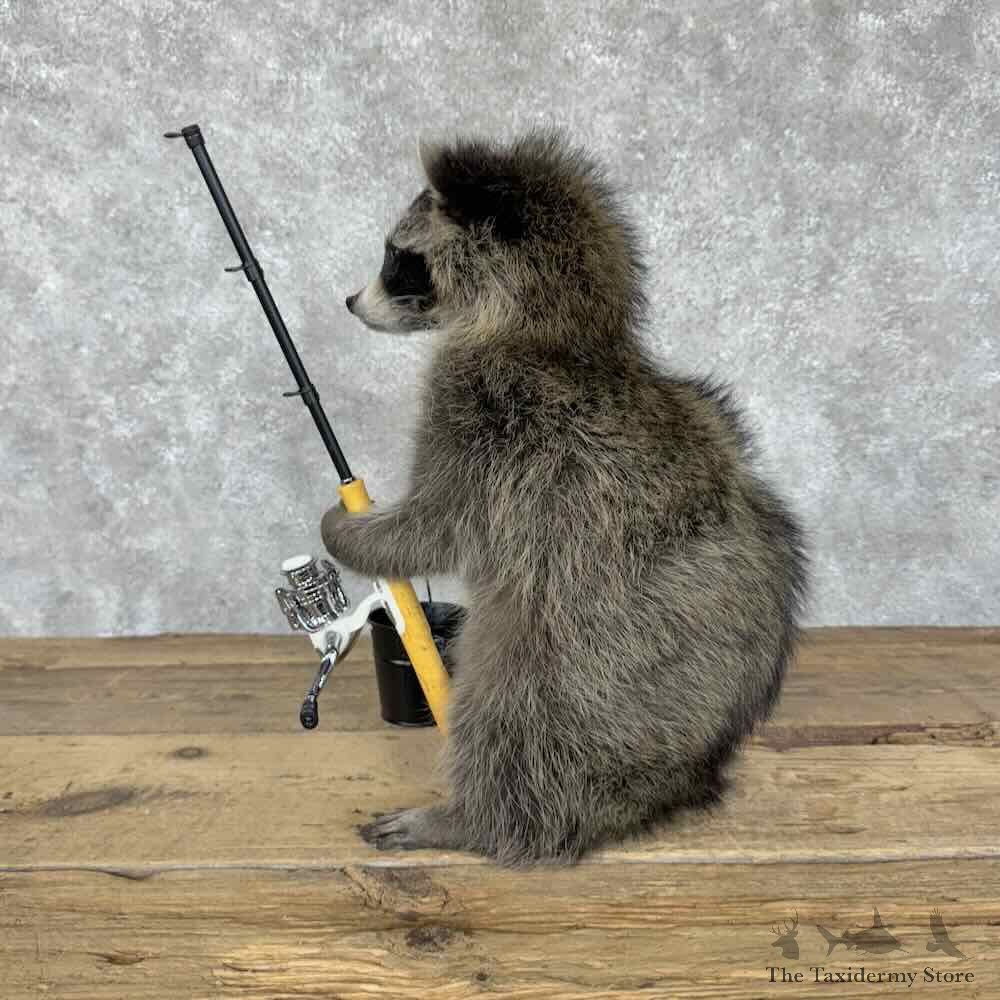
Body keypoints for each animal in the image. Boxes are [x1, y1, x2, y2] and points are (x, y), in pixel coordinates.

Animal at [322, 126, 810, 867]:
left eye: (397, 258)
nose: (350, 301)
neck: (553, 326)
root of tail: (667, 775)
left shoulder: (488, 418)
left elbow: (435, 526)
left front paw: (354, 533)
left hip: (576, 655)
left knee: (505, 720)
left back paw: (472, 819)